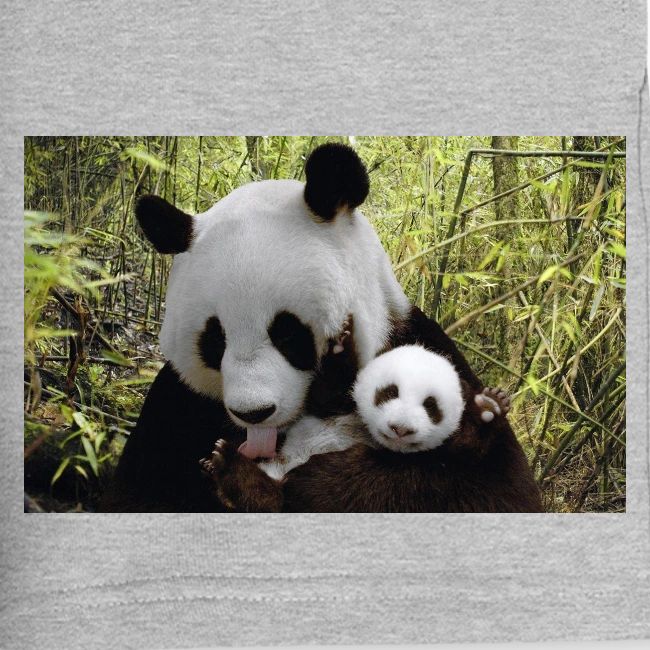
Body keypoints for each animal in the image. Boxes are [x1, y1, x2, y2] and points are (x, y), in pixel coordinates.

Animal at [100, 143, 541, 513]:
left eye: (287, 333)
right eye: (215, 339)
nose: (254, 413)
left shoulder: (421, 346)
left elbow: (491, 489)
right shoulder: (177, 406)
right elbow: (137, 493)